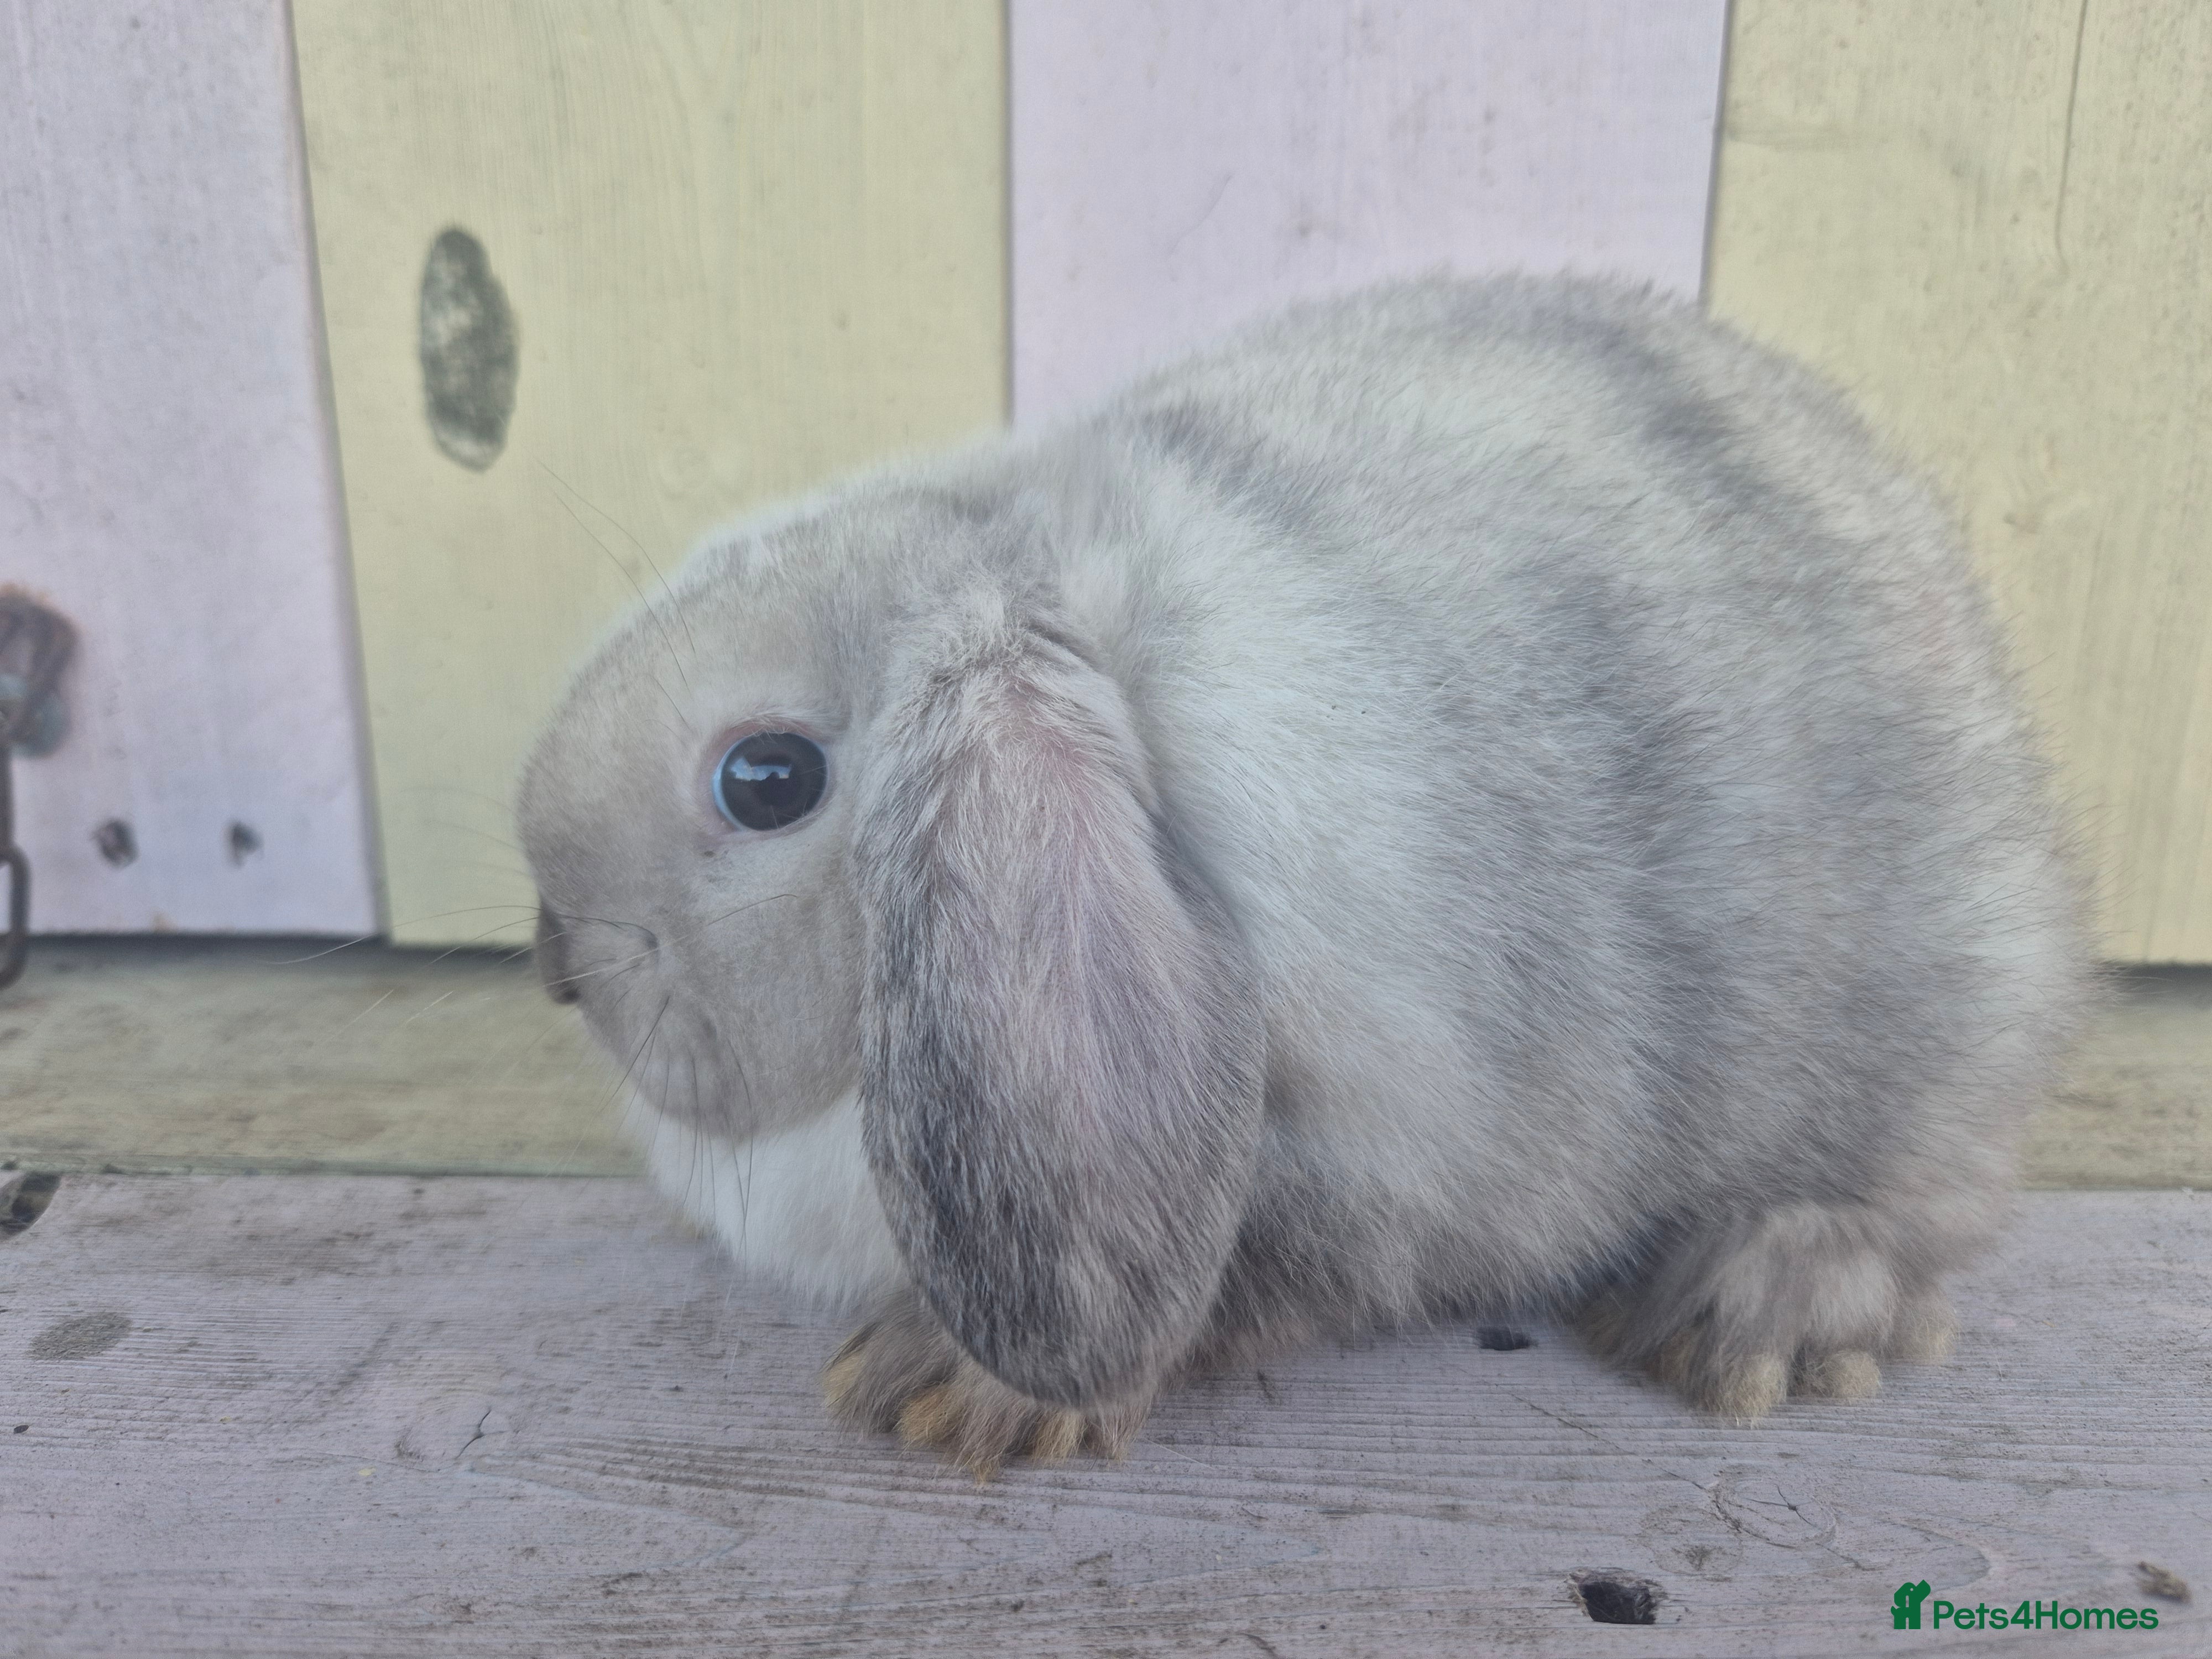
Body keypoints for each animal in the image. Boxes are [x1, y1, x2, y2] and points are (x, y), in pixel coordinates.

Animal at [518, 274, 2094, 1477]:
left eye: (766, 778)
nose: (553, 952)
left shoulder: (1369, 1162)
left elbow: (1247, 1279)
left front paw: (949, 1387)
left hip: (1943, 1039)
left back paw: (1761, 1306)